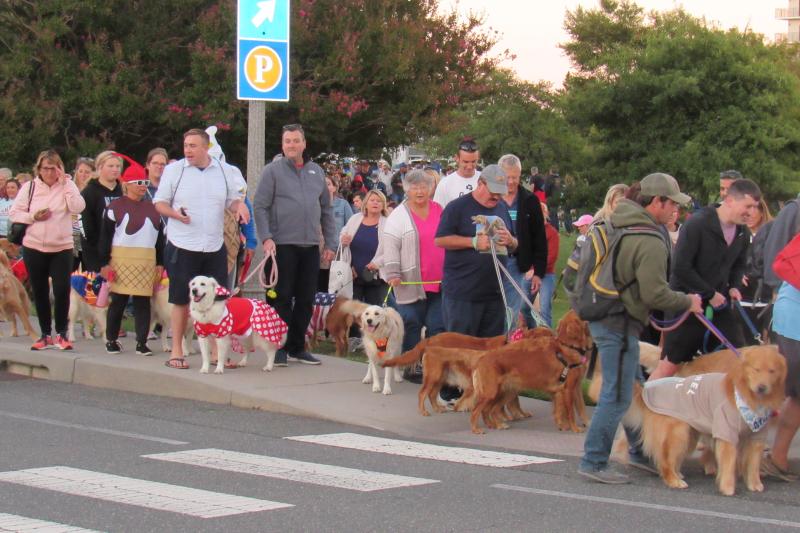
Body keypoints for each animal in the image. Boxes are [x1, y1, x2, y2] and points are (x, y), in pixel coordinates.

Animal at [620, 344, 784, 494]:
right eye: (756, 370)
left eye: (772, 371)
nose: (762, 387)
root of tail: (647, 389)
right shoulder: (726, 432)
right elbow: (729, 461)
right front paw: (727, 487)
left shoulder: (756, 436)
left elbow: (753, 463)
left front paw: (754, 483)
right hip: (678, 433)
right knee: (665, 460)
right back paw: (673, 479)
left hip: (689, 434)